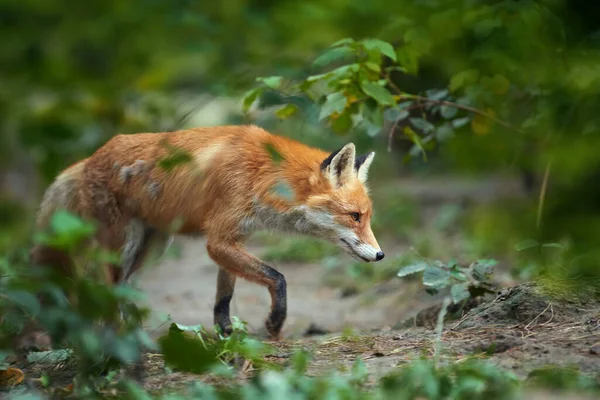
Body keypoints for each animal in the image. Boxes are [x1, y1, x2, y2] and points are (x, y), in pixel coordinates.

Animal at [31, 125, 384, 338]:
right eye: (354, 216)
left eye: (367, 218)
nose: (381, 255)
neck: (262, 175)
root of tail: (87, 160)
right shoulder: (218, 239)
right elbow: (277, 276)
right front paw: (274, 321)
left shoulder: (233, 238)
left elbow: (223, 297)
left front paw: (226, 335)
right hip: (121, 247)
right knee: (101, 290)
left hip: (152, 247)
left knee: (123, 290)